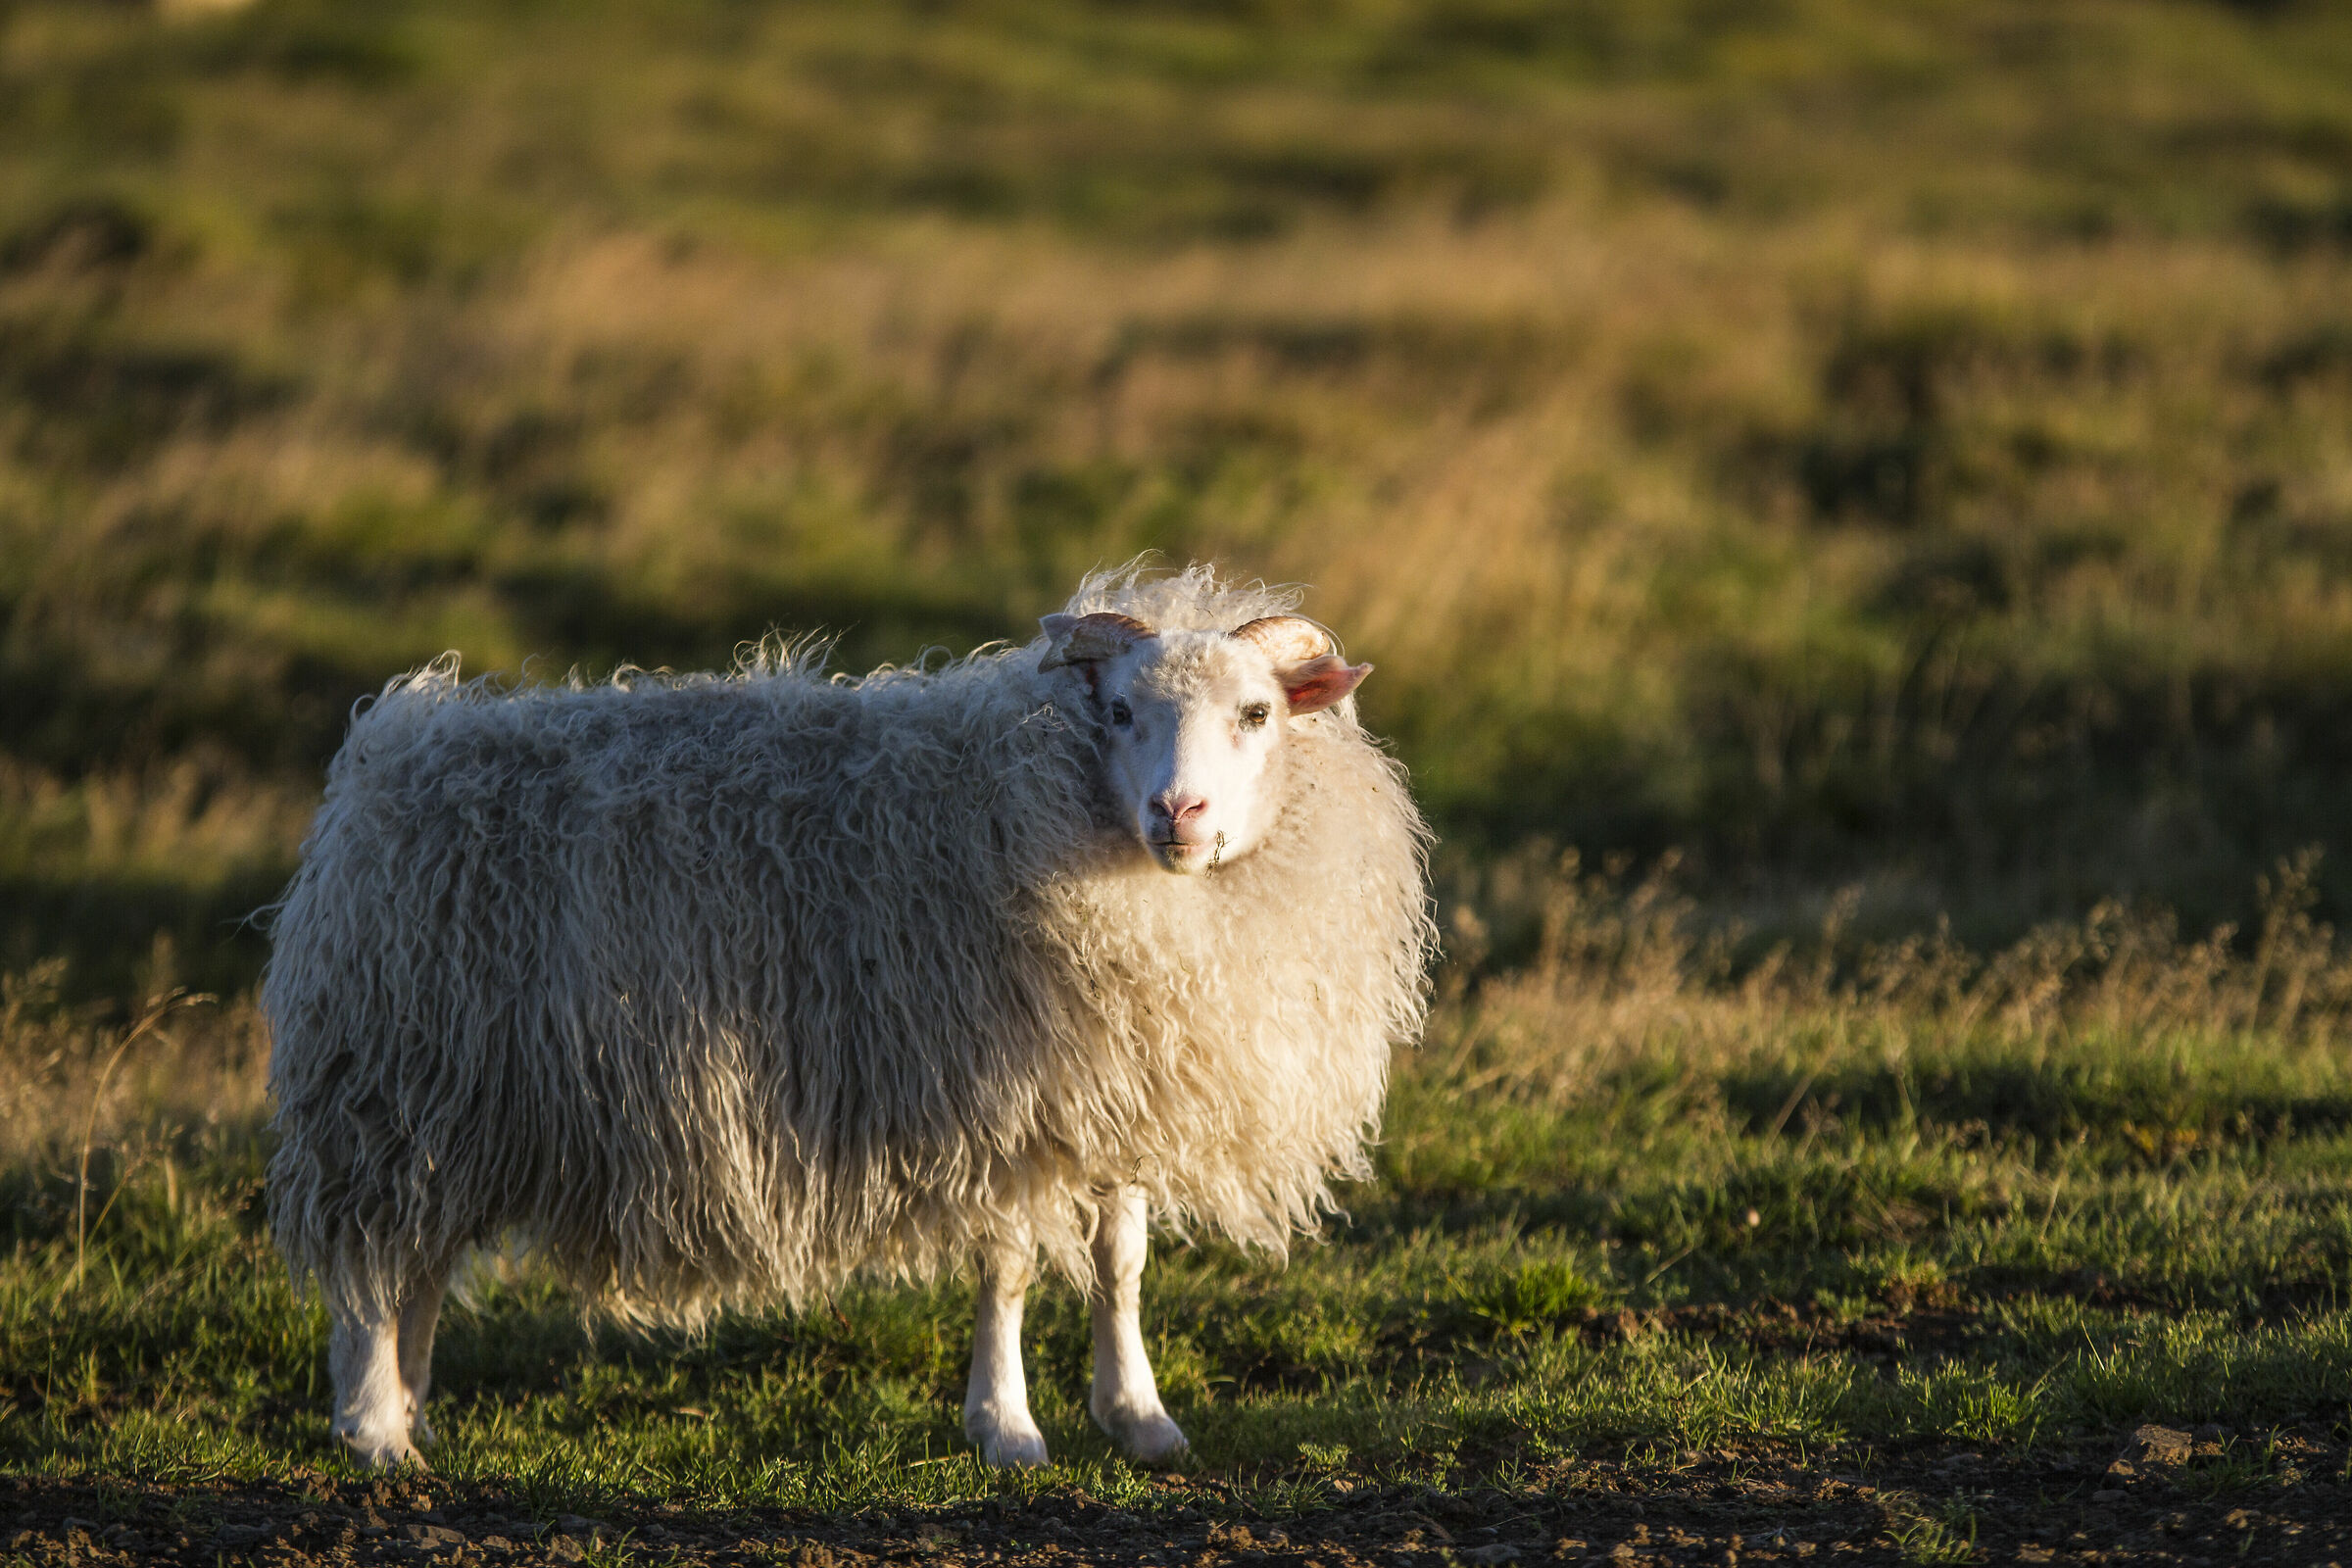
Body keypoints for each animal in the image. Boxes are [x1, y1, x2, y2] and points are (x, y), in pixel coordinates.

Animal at [262, 561, 1436, 1470]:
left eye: (1258, 714)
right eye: (1116, 712)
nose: (1177, 812)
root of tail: (390, 751)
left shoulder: (1115, 1086)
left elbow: (1122, 1262)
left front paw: (1140, 1418)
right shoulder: (999, 1097)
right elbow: (1010, 1267)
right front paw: (1007, 1429)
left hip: (451, 1105)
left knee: (415, 1268)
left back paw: (413, 1416)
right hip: (394, 1084)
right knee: (371, 1271)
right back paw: (374, 1434)